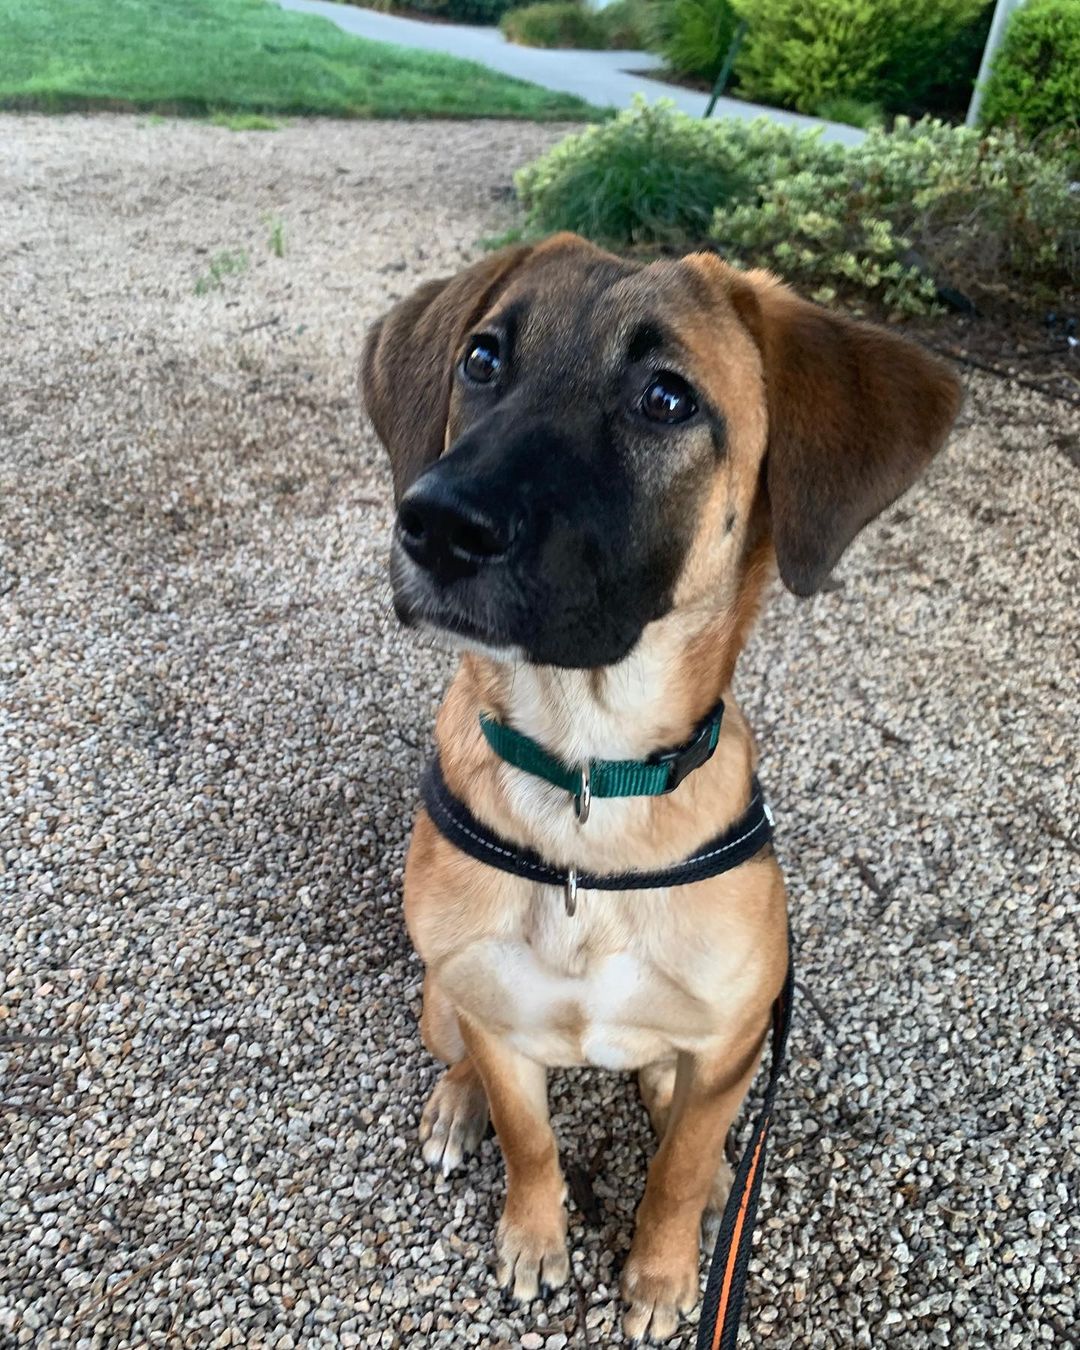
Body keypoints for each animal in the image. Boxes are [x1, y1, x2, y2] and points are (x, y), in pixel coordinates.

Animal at [364, 234, 961, 1339]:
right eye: (482, 360)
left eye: (666, 399)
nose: (436, 524)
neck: (588, 785)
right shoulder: (499, 1021)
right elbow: (531, 1140)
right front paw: (533, 1234)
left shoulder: (732, 1037)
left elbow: (677, 1169)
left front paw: (661, 1274)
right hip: (440, 996)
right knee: (462, 1049)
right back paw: (458, 1103)